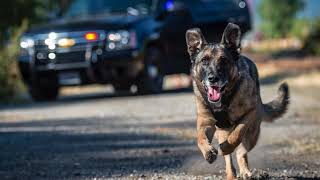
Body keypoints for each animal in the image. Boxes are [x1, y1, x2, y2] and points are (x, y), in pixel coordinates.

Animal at [185, 23, 290, 179]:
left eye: (223, 60)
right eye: (204, 61)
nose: (213, 78)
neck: (224, 99)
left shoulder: (249, 114)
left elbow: (237, 134)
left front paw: (226, 147)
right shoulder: (206, 122)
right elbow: (201, 138)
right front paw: (208, 151)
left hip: (254, 132)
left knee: (241, 151)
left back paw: (245, 170)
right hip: (222, 131)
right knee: (229, 159)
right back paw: (231, 174)